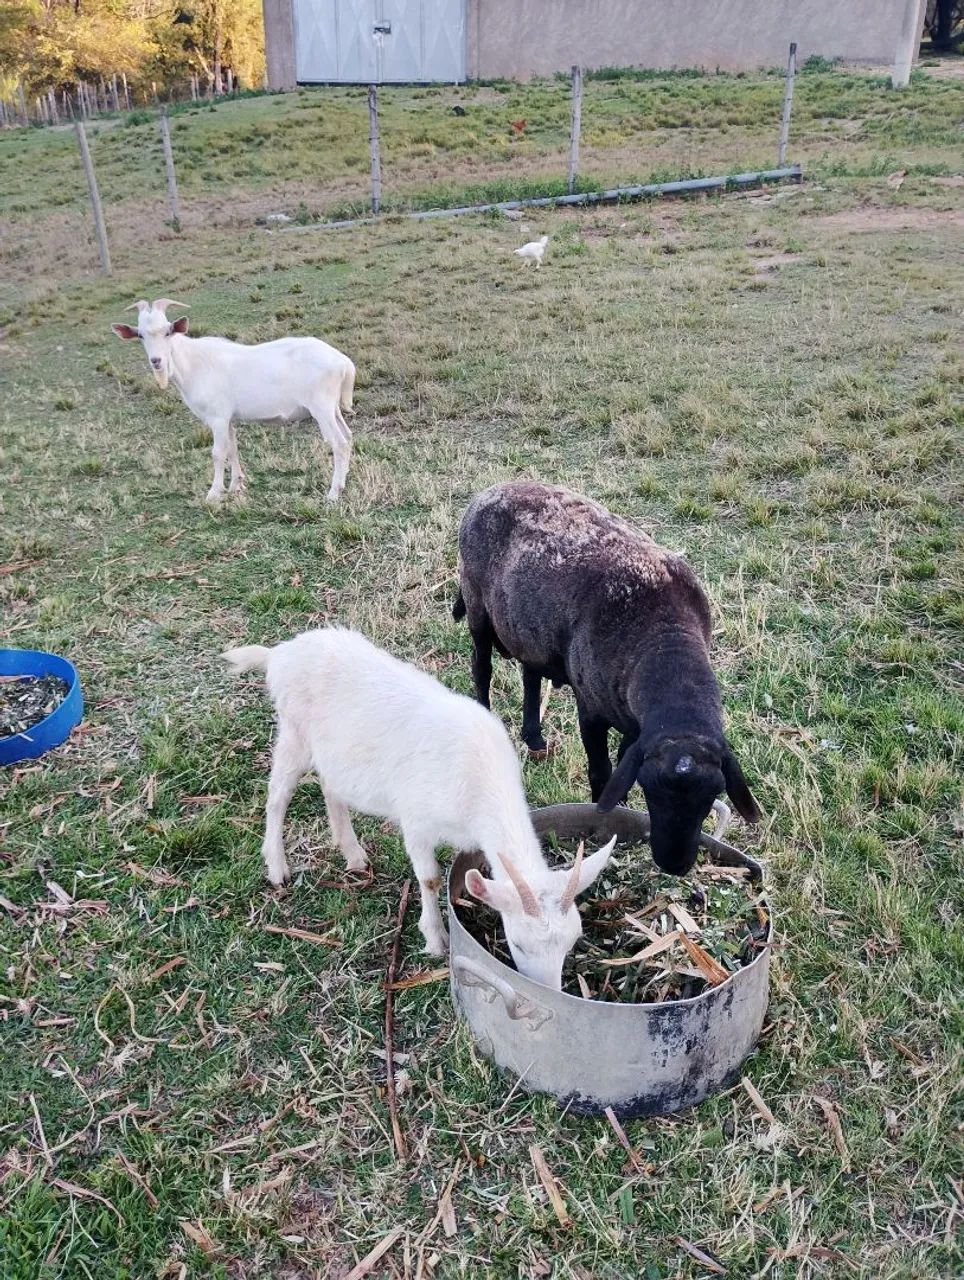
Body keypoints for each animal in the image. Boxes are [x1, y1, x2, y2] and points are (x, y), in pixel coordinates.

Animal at [111, 298, 355, 504]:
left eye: (168, 331)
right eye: (141, 335)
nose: (156, 361)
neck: (193, 363)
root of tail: (343, 362)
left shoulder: (217, 417)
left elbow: (218, 453)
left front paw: (213, 493)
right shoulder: (228, 419)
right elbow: (232, 449)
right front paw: (235, 486)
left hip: (321, 407)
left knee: (339, 443)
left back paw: (333, 493)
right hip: (332, 407)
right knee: (348, 436)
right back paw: (342, 483)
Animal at [222, 627, 615, 990]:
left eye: (573, 940)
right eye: (517, 942)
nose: (549, 990)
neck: (478, 781)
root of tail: (280, 653)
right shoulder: (417, 820)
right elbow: (428, 878)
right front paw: (436, 939)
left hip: (331, 752)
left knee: (330, 786)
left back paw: (353, 854)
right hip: (293, 732)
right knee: (277, 796)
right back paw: (277, 867)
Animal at [454, 481, 761, 876]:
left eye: (712, 796)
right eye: (651, 790)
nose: (674, 864)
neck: (665, 635)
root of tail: (492, 489)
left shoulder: (632, 718)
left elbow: (621, 757)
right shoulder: (592, 710)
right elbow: (601, 770)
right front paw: (603, 814)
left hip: (527, 626)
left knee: (530, 672)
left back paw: (534, 737)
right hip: (476, 600)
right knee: (481, 668)